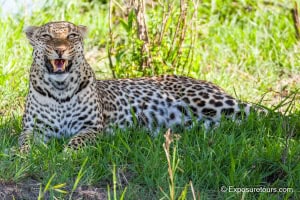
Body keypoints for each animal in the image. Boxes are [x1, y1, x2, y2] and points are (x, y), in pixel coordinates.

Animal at [18, 21, 264, 152]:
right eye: (46, 36)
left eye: (71, 35)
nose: (59, 49)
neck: (59, 90)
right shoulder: (33, 128)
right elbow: (24, 142)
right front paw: (20, 155)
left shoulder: (92, 128)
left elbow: (77, 141)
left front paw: (66, 154)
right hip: (208, 120)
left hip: (210, 102)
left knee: (261, 112)